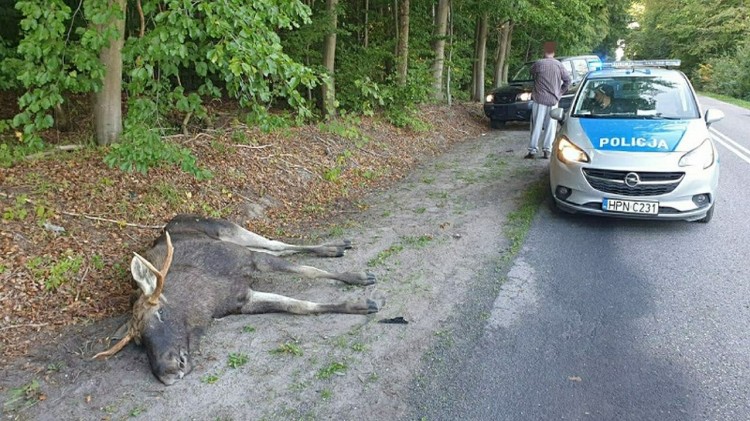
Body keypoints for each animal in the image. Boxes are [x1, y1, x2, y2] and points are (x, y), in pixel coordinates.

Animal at [94, 213, 384, 384]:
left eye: (160, 313)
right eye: (139, 341)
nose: (167, 371)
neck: (207, 297)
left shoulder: (250, 260)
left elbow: (309, 271)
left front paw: (358, 279)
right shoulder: (243, 300)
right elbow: (299, 306)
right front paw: (357, 305)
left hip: (230, 230)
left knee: (276, 244)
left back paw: (334, 247)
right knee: (280, 248)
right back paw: (332, 247)